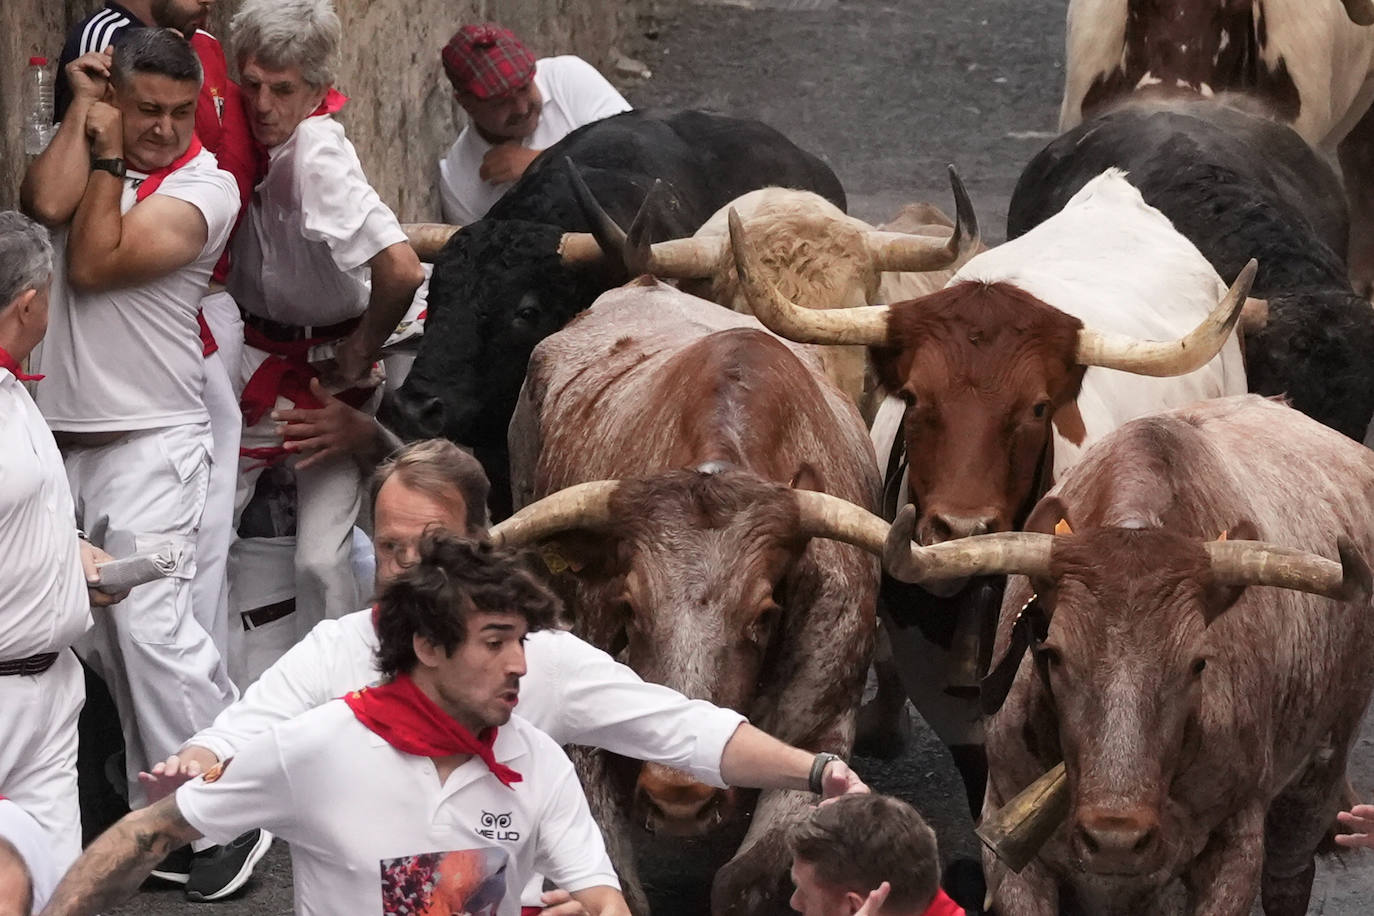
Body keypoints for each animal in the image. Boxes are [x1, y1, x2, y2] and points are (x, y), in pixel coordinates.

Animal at [879, 395, 1374, 916]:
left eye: (1198, 663)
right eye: (1052, 654)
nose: (1115, 839)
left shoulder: (1236, 846)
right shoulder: (1009, 845)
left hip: (1318, 774)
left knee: (1289, 876)